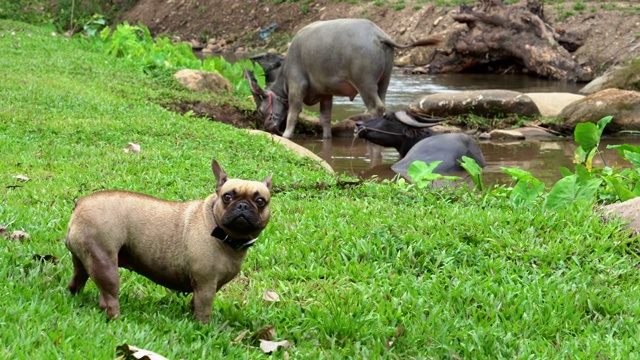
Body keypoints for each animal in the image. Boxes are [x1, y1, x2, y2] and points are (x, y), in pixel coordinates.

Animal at [65, 159, 272, 322]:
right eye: (227, 197)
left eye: (260, 201)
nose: (243, 206)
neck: (223, 232)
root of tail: (81, 203)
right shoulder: (206, 285)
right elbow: (204, 310)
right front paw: (203, 328)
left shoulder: (208, 286)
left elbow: (195, 303)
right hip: (105, 264)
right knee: (109, 299)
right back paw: (117, 319)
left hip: (86, 257)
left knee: (77, 280)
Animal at [242, 17, 438, 139]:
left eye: (261, 110)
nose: (268, 128)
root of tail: (379, 35)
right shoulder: (326, 94)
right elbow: (325, 117)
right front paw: (327, 137)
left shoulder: (297, 85)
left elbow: (294, 112)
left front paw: (287, 135)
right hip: (385, 80)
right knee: (382, 101)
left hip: (364, 83)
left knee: (375, 107)